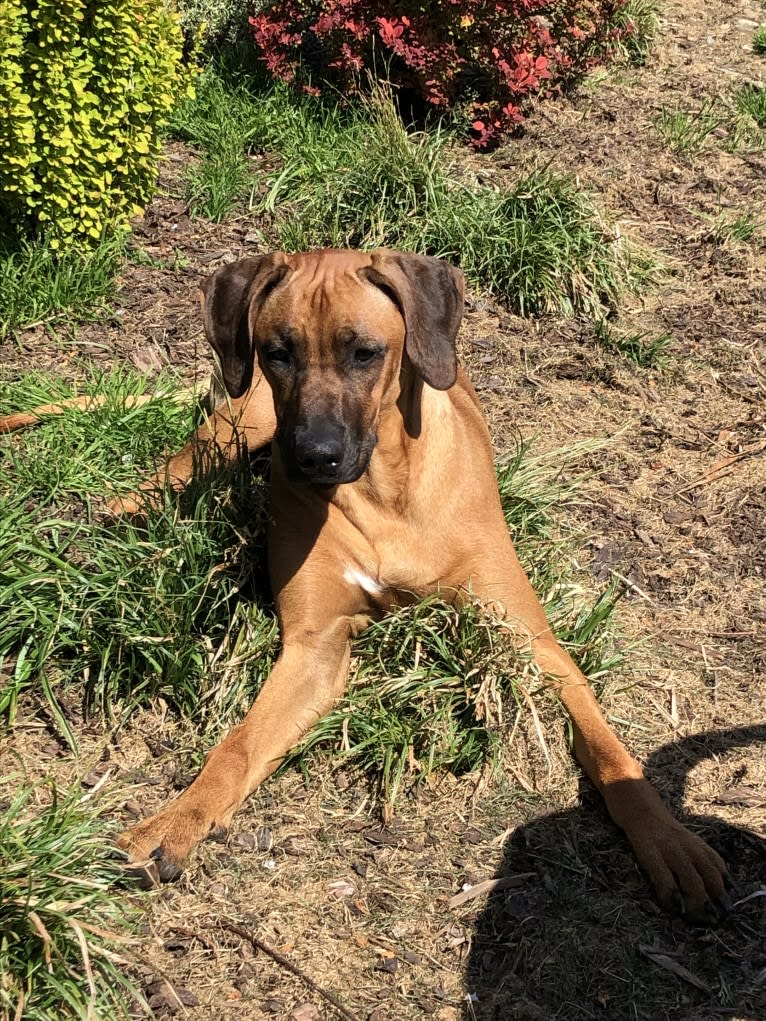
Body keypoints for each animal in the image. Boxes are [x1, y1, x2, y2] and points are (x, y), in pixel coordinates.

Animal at [46, 249, 731, 927]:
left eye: (366, 352)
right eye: (278, 351)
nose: (313, 456)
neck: (382, 489)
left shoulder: (531, 640)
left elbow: (610, 750)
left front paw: (670, 843)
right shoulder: (315, 645)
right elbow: (237, 746)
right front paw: (175, 820)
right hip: (238, 422)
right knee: (177, 470)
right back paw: (111, 517)